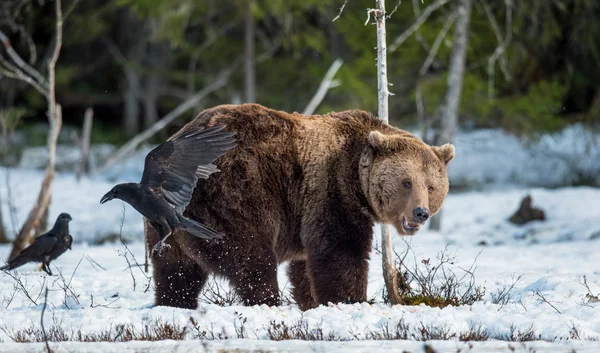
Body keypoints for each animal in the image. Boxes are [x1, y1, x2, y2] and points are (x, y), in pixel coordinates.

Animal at [146, 103, 454, 310]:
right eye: (406, 182)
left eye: (431, 186)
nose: (420, 212)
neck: (356, 175)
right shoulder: (330, 190)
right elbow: (341, 250)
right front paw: (351, 299)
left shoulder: (304, 211)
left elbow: (305, 264)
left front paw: (312, 301)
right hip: (237, 192)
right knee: (251, 256)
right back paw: (268, 300)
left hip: (166, 223)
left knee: (176, 270)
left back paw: (174, 303)